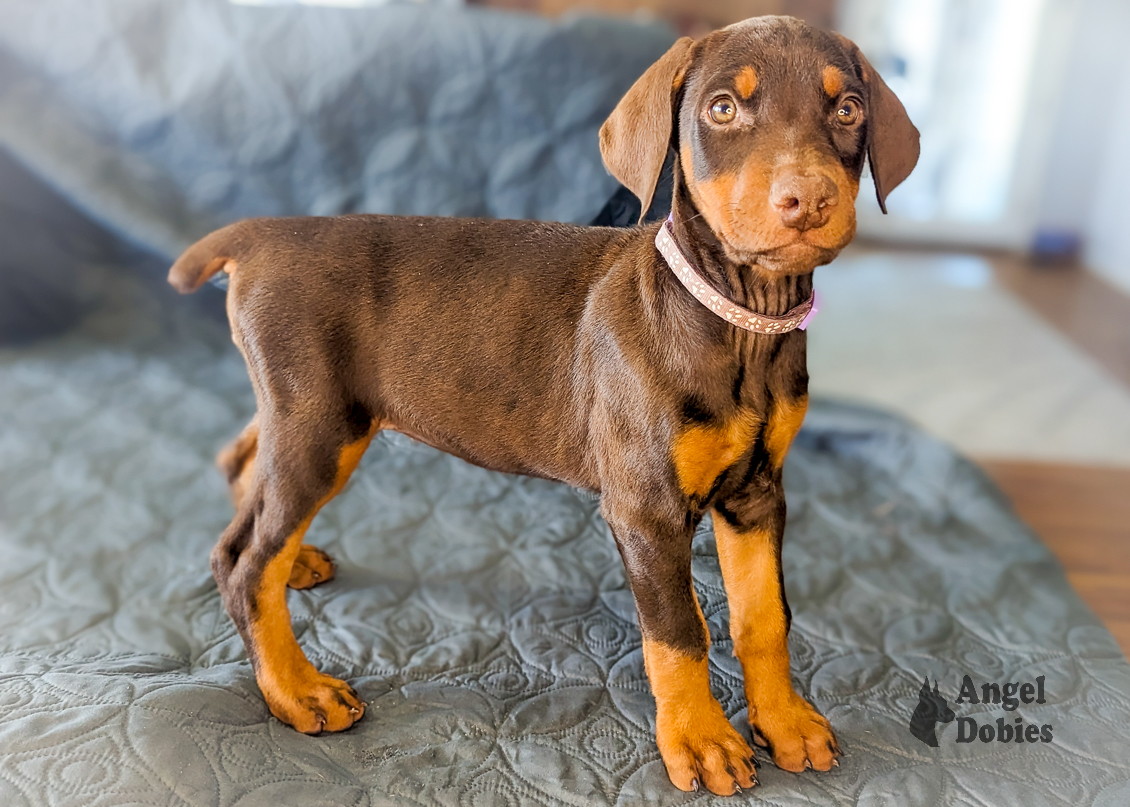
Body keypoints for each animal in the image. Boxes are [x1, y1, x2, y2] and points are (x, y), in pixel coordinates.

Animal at [174, 14, 917, 791]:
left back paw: (295, 566)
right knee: (244, 560)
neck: (739, 320)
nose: (807, 200)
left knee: (245, 468)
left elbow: (764, 616)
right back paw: (295, 688)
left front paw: (783, 719)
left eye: (848, 110)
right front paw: (701, 737)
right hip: (323, 424)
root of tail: (261, 234)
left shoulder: (758, 491)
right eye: (722, 109)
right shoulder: (645, 506)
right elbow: (676, 631)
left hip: (303, 410)